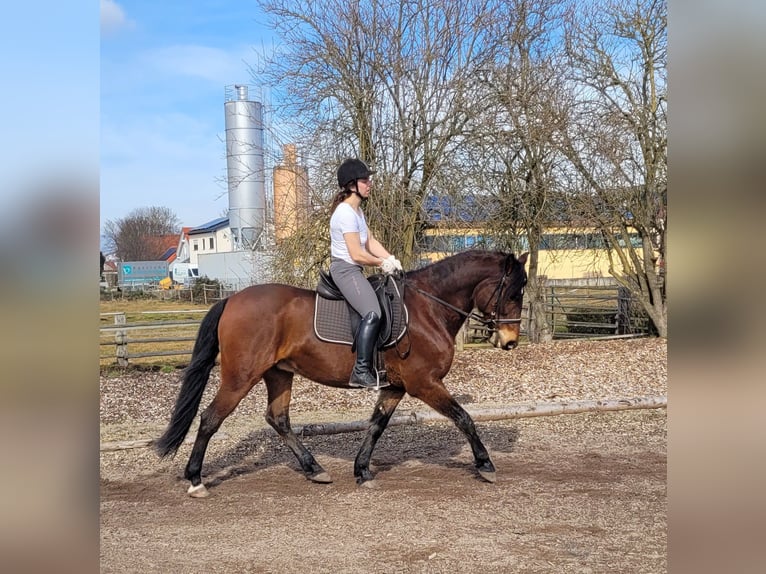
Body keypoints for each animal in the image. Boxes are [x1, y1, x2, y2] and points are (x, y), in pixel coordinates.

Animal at [156, 250, 528, 498]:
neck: (428, 308)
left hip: (279, 374)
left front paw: (362, 470)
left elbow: (376, 426)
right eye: (514, 292)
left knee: (278, 419)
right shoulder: (424, 383)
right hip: (240, 377)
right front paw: (485, 465)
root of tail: (231, 300)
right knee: (210, 419)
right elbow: (463, 418)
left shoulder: (395, 387)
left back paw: (315, 469)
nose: (510, 341)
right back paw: (196, 480)